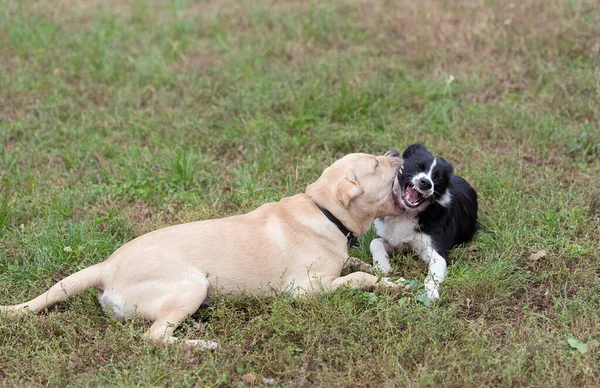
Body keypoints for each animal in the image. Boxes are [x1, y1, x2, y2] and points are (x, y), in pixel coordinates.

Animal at [2, 150, 404, 348]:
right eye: (375, 163)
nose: (397, 152)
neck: (324, 210)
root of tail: (106, 266)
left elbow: (358, 267)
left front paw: (384, 275)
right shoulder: (303, 290)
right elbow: (355, 281)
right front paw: (384, 283)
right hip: (190, 285)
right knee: (155, 338)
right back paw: (203, 344)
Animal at [370, 142, 478, 300]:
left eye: (437, 179)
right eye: (418, 166)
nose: (426, 183)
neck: (406, 214)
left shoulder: (435, 251)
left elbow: (435, 270)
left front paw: (430, 290)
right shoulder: (394, 240)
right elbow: (375, 242)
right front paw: (383, 266)